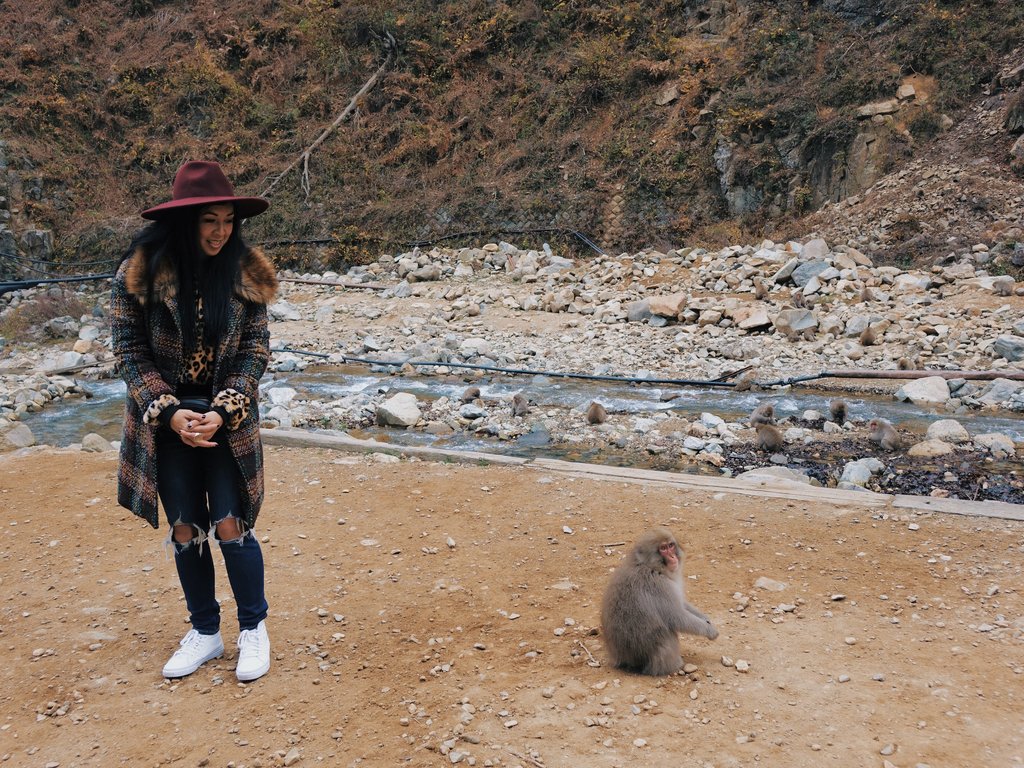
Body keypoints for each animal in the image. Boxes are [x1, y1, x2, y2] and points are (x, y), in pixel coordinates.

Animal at [598, 528, 720, 675]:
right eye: (663, 548)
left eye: (670, 545)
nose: (672, 557)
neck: (651, 567)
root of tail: (626, 660)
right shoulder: (659, 585)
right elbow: (677, 616)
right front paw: (710, 631)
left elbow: (681, 603)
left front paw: (705, 618)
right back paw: (676, 665)